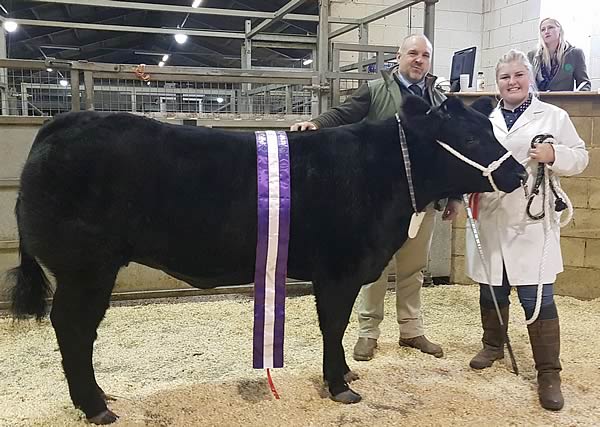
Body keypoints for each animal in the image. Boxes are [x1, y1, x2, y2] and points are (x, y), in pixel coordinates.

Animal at [8, 96, 524, 424]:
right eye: (471, 139)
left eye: (492, 131)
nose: (520, 173)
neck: (388, 173)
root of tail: (62, 123)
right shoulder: (340, 269)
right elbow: (333, 325)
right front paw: (340, 385)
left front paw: (345, 373)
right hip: (86, 267)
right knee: (74, 328)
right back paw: (96, 406)